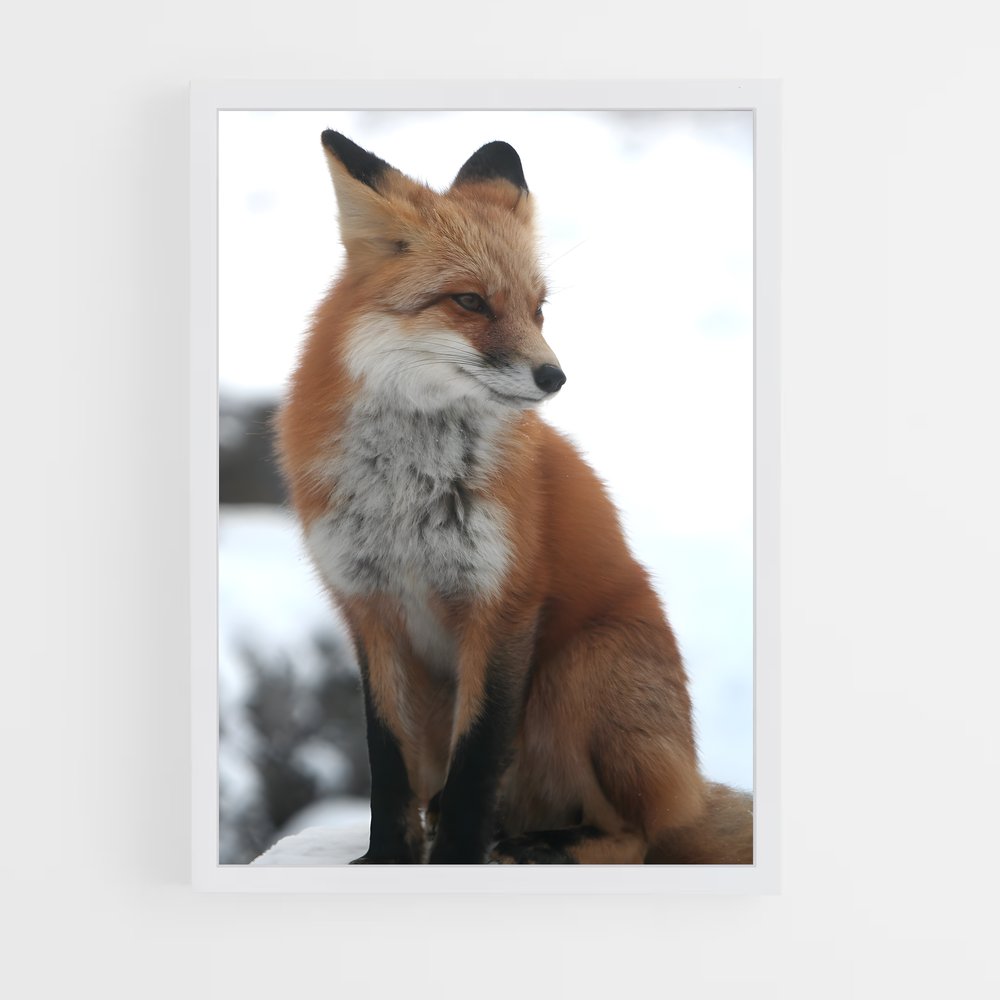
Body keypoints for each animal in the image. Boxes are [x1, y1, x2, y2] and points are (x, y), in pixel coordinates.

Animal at [276, 130, 753, 864]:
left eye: (539, 309)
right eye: (470, 302)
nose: (554, 376)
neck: (407, 496)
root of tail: (691, 789)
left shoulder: (502, 605)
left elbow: (476, 764)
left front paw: (453, 860)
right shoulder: (370, 609)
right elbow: (388, 763)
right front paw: (387, 859)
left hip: (580, 667)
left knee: (637, 836)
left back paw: (541, 844)